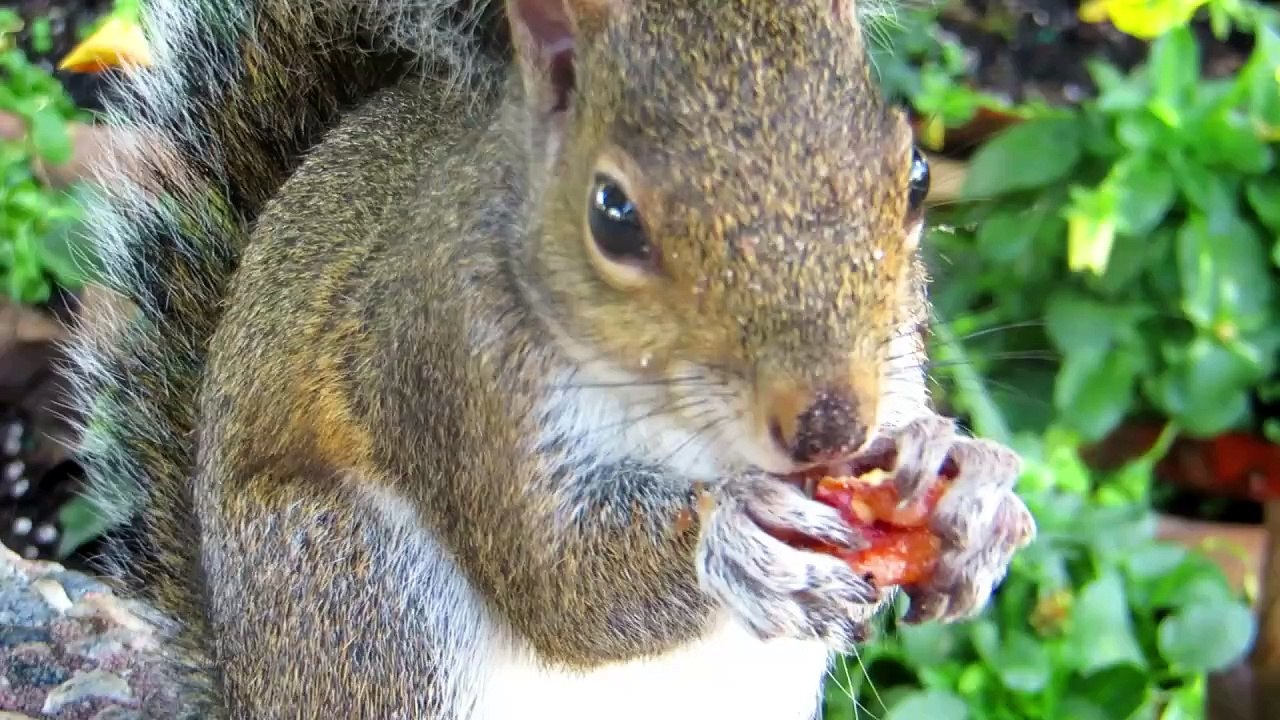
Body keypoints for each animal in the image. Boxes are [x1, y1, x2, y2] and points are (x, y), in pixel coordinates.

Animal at [65, 0, 1038, 718]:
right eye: (614, 216)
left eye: (916, 176)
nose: (830, 422)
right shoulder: (450, 366)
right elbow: (560, 586)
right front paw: (736, 534)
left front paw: (967, 480)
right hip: (360, 599)